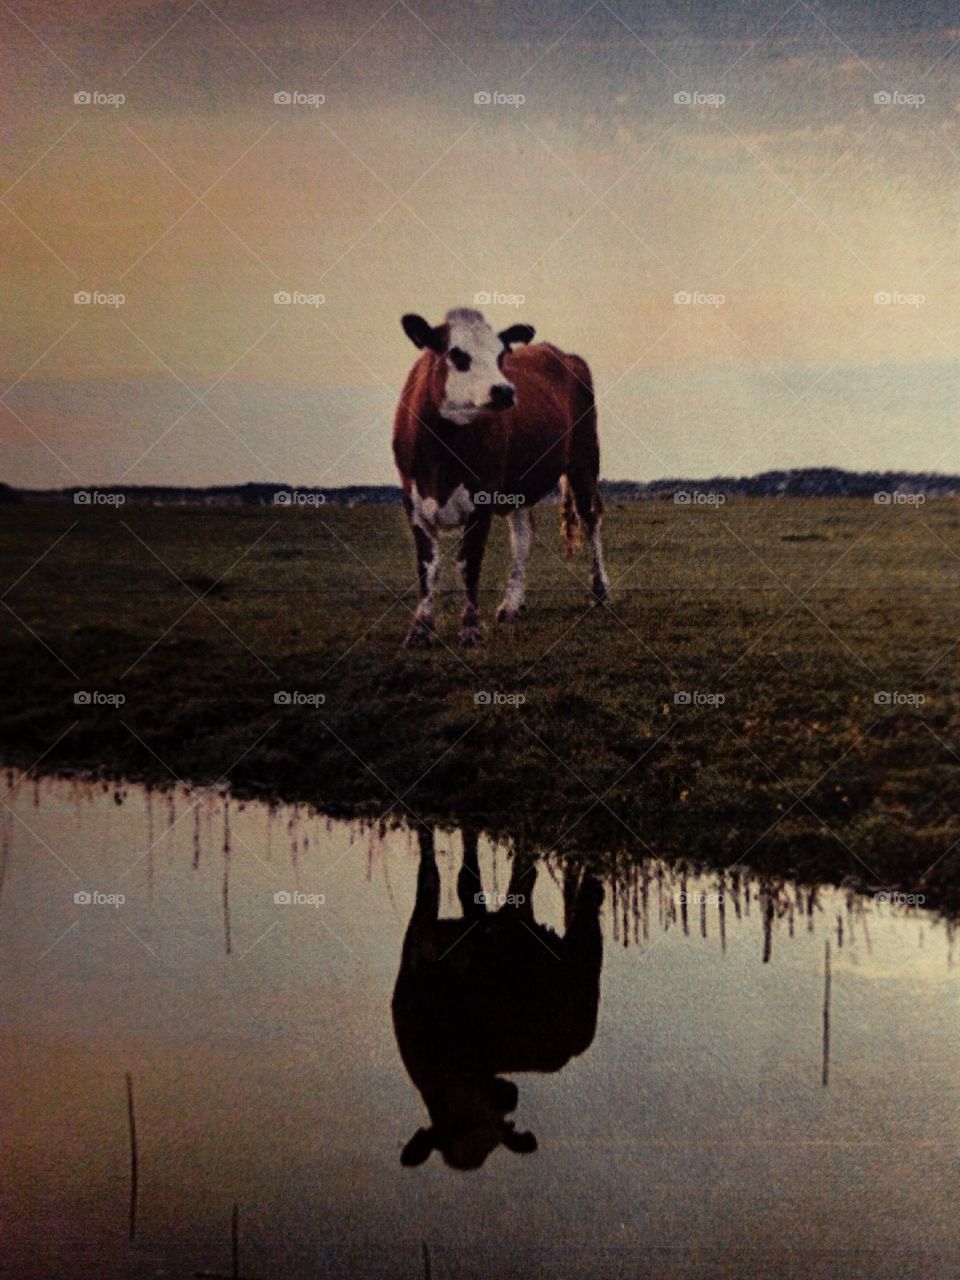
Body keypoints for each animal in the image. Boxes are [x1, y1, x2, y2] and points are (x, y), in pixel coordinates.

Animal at [393, 307, 609, 647]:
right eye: (457, 354)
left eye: (499, 356)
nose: (505, 390)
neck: (443, 452)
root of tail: (562, 353)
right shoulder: (412, 498)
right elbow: (427, 565)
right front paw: (420, 629)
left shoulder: (482, 497)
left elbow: (469, 562)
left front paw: (470, 628)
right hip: (519, 486)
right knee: (523, 537)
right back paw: (511, 604)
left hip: (584, 459)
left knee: (590, 518)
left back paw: (600, 590)